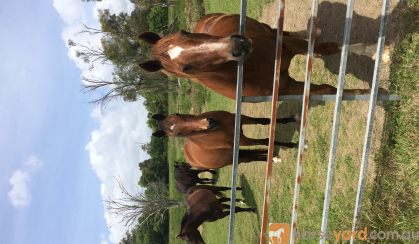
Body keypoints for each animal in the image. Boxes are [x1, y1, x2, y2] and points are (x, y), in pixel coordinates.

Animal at [139, 12, 388, 100]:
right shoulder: (287, 88)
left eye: (185, 32)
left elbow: (332, 47)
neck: (253, 67)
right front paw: (365, 93)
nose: (238, 43)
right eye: (186, 69)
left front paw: (373, 51)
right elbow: (328, 90)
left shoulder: (287, 46)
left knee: (281, 31)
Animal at [151, 111, 298, 170]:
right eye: (179, 134)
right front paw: (292, 144)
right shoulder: (243, 140)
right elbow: (266, 140)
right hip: (232, 158)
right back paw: (272, 158)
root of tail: (190, 161)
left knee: (252, 153)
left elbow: (264, 121)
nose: (210, 123)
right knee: (250, 158)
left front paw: (291, 119)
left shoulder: (242, 118)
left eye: (178, 114)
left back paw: (273, 156)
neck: (220, 128)